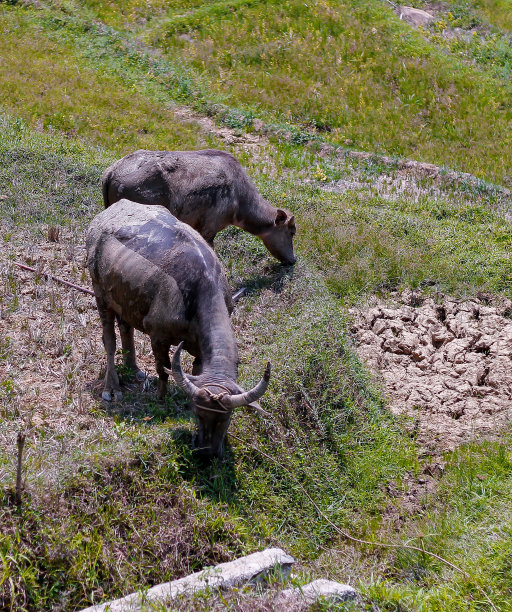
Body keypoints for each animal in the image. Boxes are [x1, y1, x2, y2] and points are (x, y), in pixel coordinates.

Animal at [87, 201, 272, 460]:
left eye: (225, 418)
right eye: (199, 413)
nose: (207, 451)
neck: (200, 290)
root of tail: (106, 214)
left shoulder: (199, 348)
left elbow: (194, 368)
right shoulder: (158, 337)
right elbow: (163, 369)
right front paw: (160, 398)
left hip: (124, 299)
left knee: (126, 328)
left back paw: (134, 368)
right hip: (100, 294)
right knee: (109, 340)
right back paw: (111, 388)